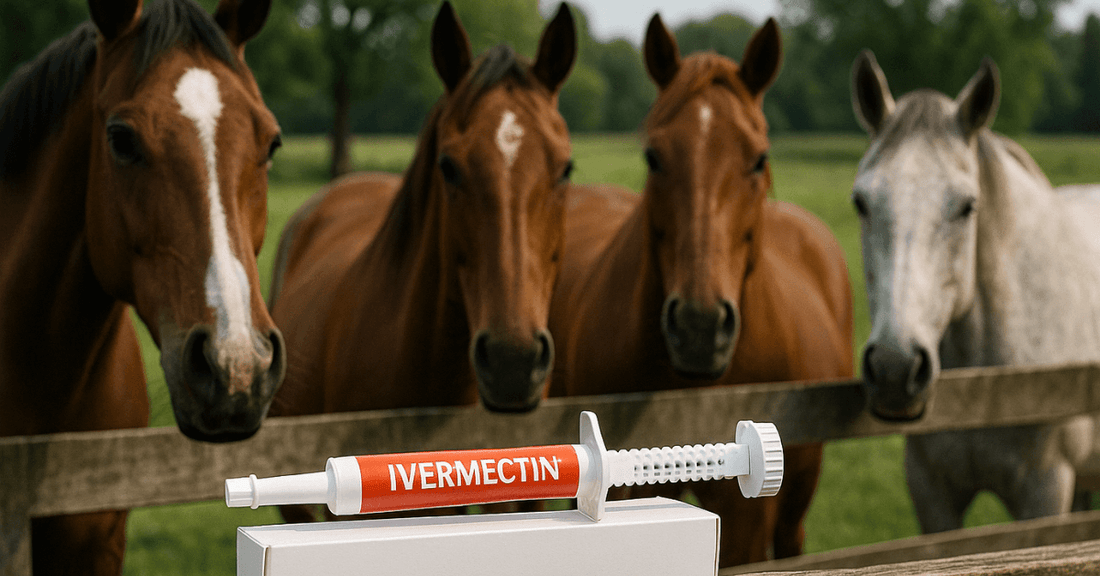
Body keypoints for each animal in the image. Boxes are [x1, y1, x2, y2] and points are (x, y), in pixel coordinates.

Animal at [850, 51, 1096, 533]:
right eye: (861, 203)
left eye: (967, 206)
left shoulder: (1044, 492)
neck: (987, 387)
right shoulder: (932, 493)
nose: (894, 368)